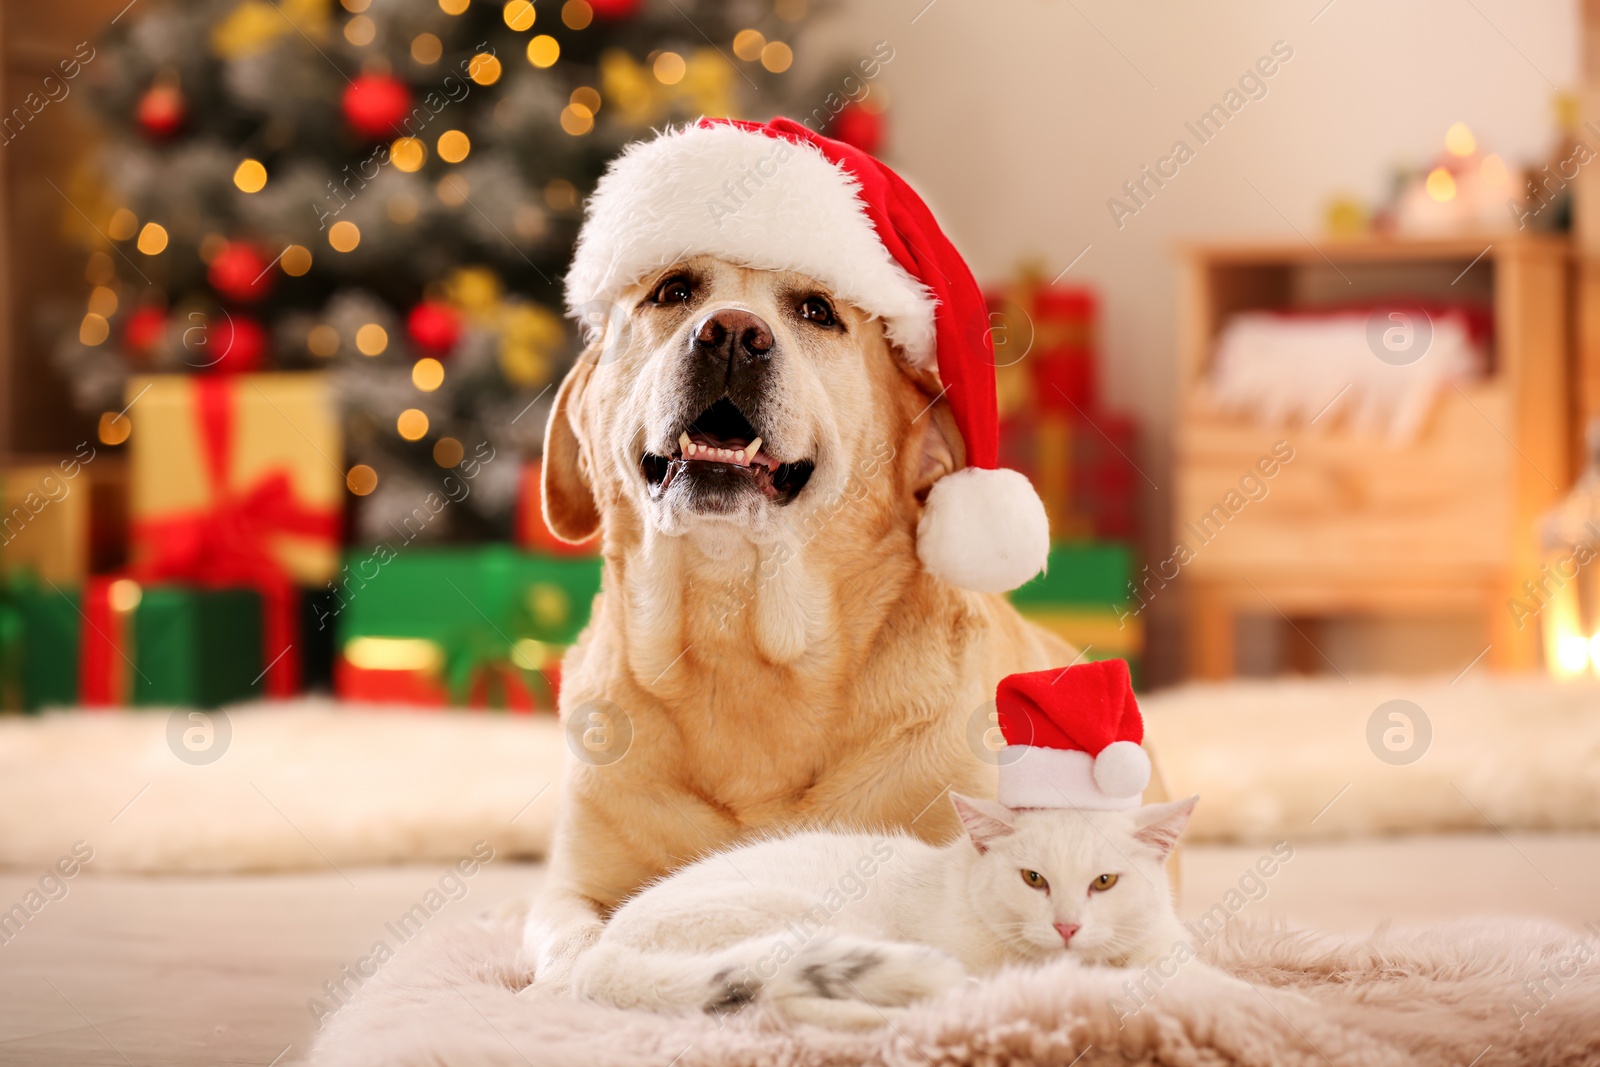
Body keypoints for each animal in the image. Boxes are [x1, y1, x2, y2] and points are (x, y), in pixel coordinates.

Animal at [528, 254, 1075, 991]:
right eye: (673, 290)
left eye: (818, 310)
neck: (736, 638)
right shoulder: (569, 885)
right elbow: (575, 949)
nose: (732, 333)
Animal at [572, 793, 1203, 1023]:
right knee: (779, 1002)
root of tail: (600, 957)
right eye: (1033, 879)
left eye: (1105, 881)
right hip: (804, 920)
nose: (1067, 926)